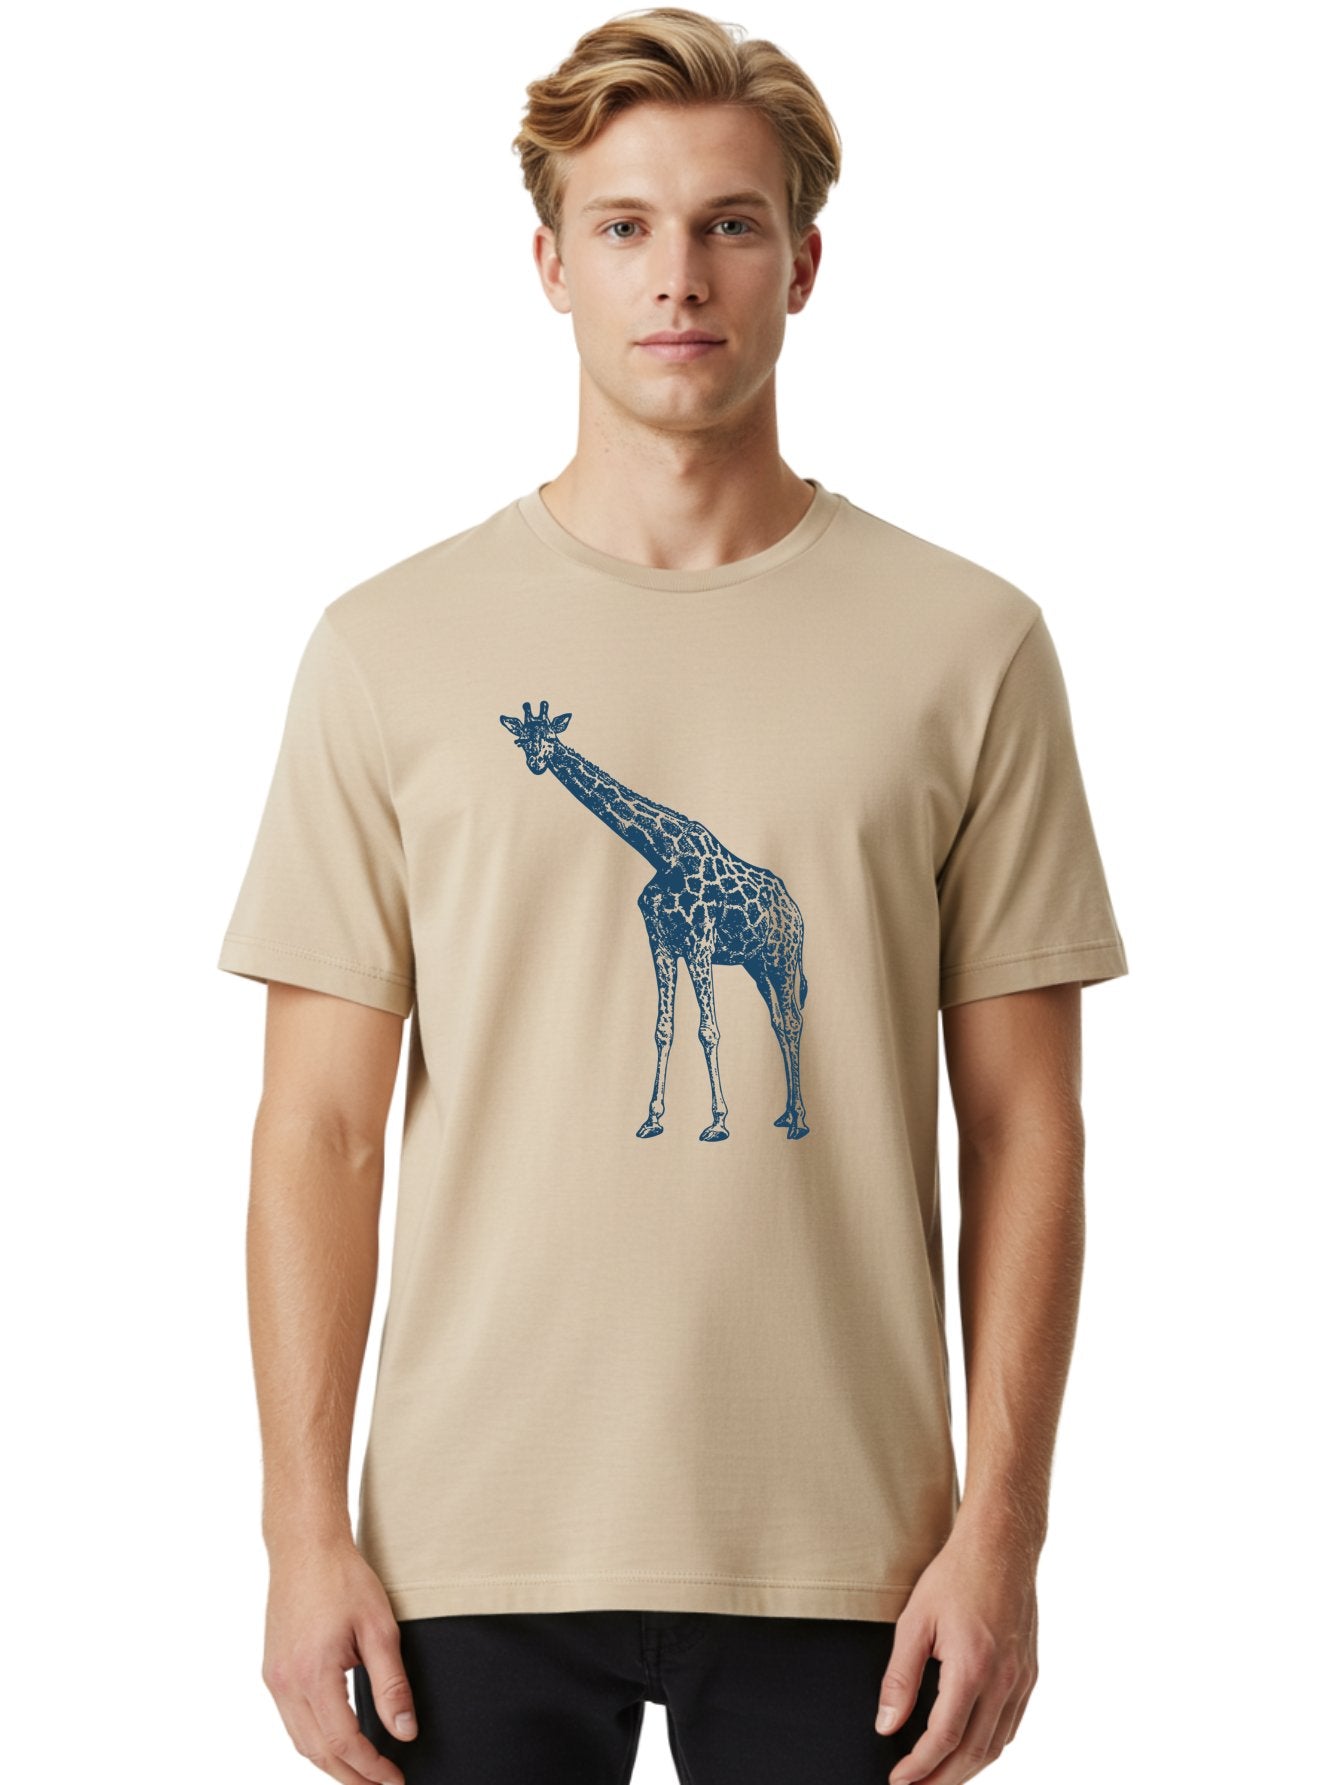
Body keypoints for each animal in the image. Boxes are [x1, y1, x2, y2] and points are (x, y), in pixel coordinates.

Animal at [500, 699, 810, 1142]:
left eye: (552, 737)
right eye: (521, 739)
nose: (537, 762)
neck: (662, 853)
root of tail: (794, 908)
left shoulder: (699, 944)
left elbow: (708, 1030)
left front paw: (718, 1122)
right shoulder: (661, 942)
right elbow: (664, 1029)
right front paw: (652, 1119)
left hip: (782, 957)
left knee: (793, 1020)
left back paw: (799, 1120)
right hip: (756, 964)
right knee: (778, 1022)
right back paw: (785, 1114)